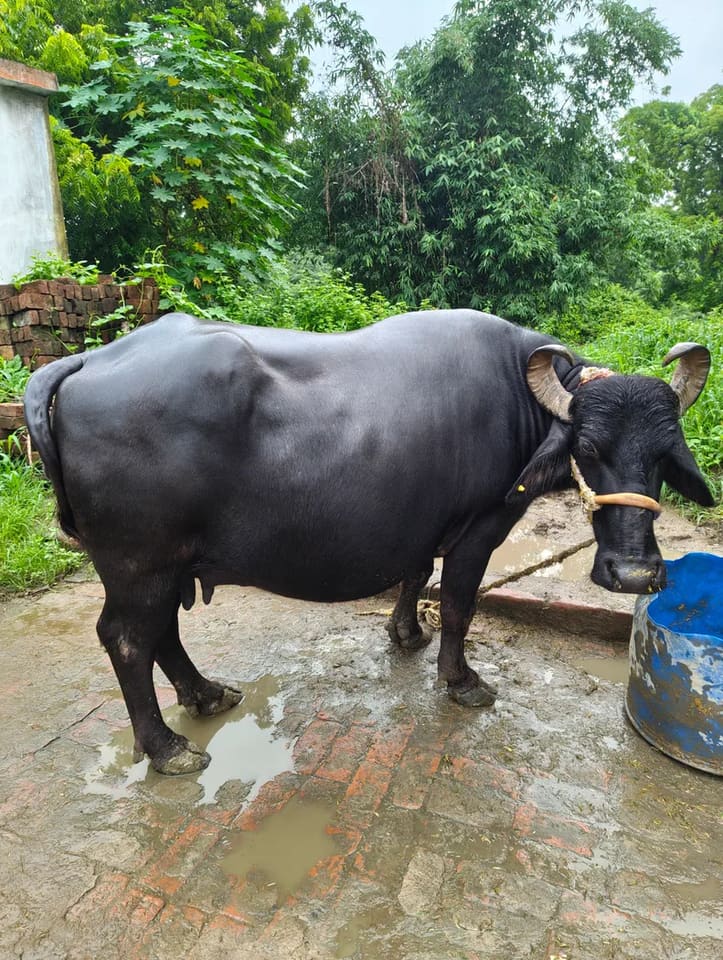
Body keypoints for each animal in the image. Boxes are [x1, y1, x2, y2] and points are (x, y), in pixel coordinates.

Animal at [23, 310, 713, 773]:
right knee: (127, 639)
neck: (520, 400)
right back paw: (167, 747)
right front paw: (462, 680)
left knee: (160, 631)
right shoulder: (480, 528)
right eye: (588, 449)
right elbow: (459, 604)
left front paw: (405, 633)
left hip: (164, 564)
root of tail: (89, 361)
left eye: (663, 455)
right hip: (137, 562)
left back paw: (206, 694)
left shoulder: (422, 525)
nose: (633, 574)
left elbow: (416, 573)